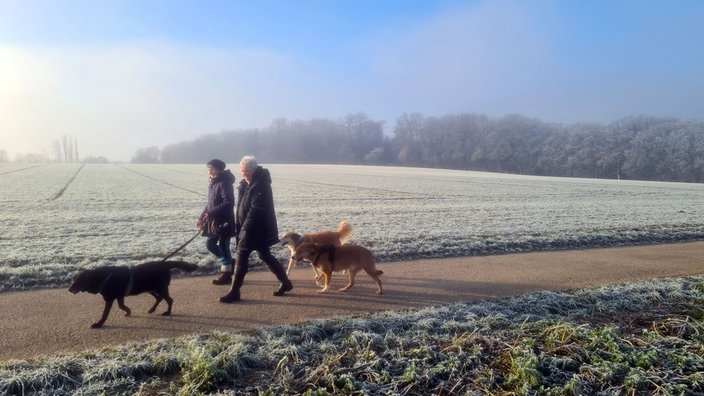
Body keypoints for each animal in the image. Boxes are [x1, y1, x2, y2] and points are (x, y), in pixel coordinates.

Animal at [68, 260, 198, 328]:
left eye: (78, 281)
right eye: (72, 280)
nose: (69, 289)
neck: (101, 277)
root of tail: (164, 263)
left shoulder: (110, 299)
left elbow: (105, 314)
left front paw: (99, 324)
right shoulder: (119, 296)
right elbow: (121, 306)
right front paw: (128, 311)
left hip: (159, 288)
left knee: (169, 299)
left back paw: (167, 312)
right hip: (150, 289)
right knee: (159, 298)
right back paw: (152, 309)